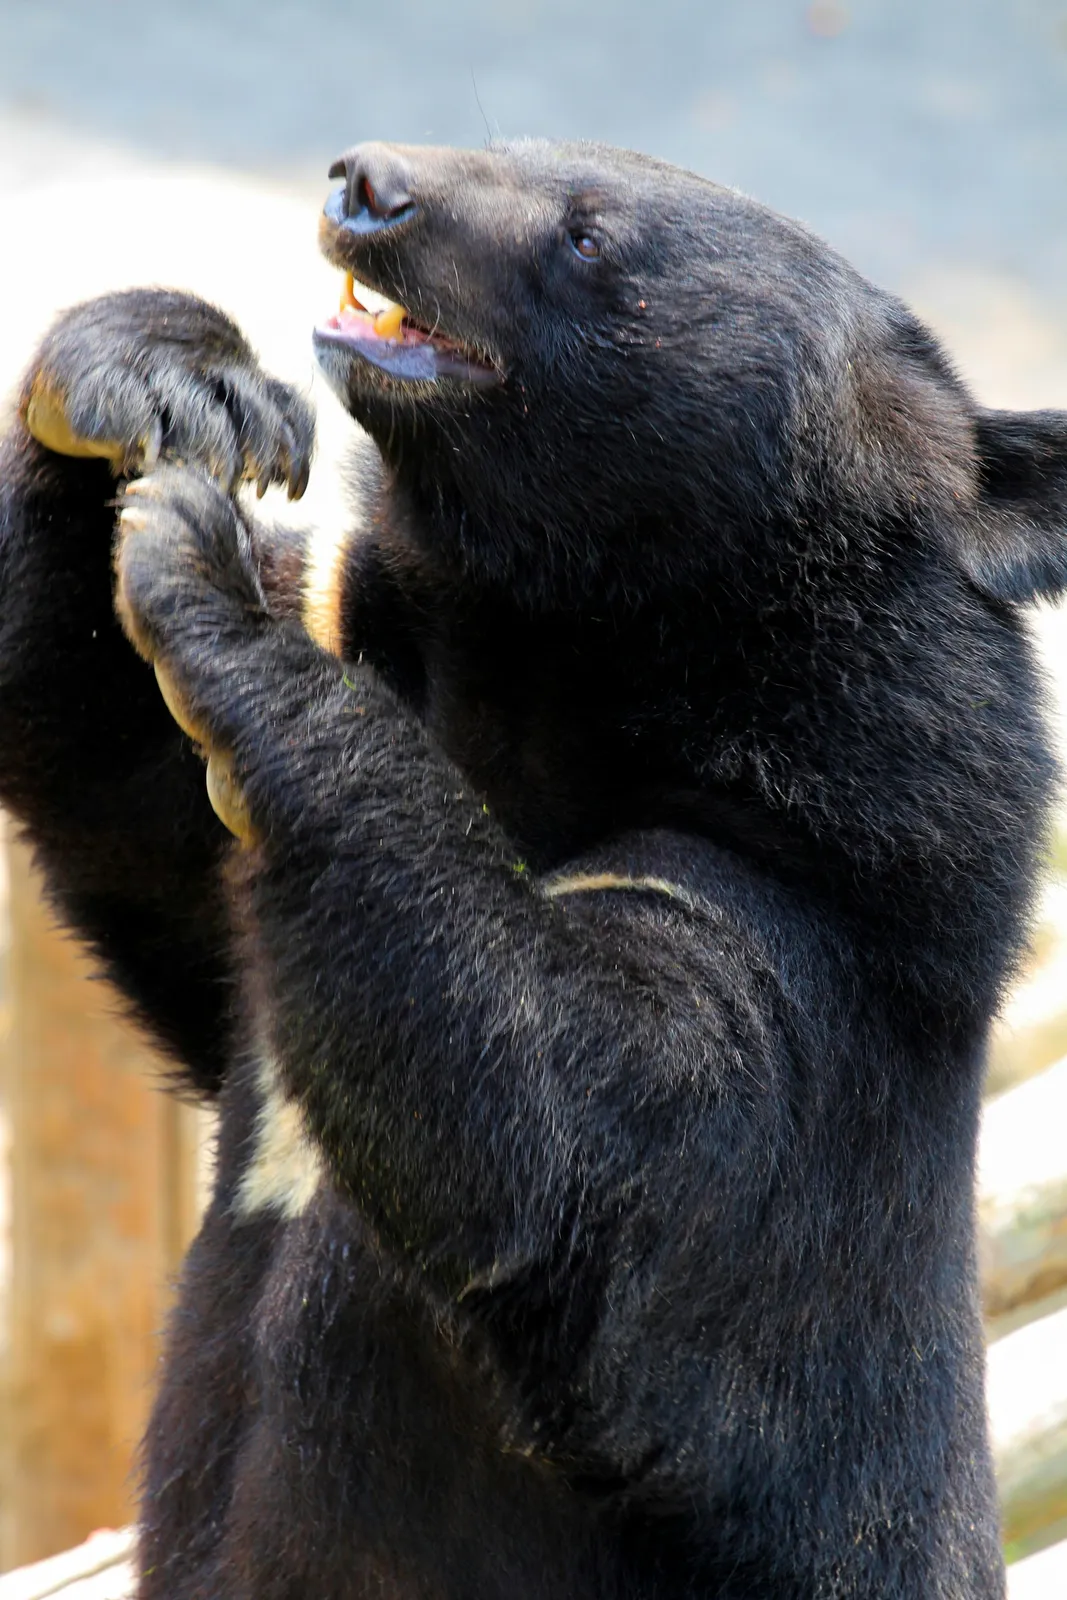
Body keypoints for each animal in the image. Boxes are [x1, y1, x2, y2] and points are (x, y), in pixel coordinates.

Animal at [2, 136, 1065, 1598]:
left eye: (587, 235)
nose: (364, 185)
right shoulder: (251, 929)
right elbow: (129, 805)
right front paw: (165, 378)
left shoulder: (803, 956)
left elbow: (538, 1119)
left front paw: (197, 564)